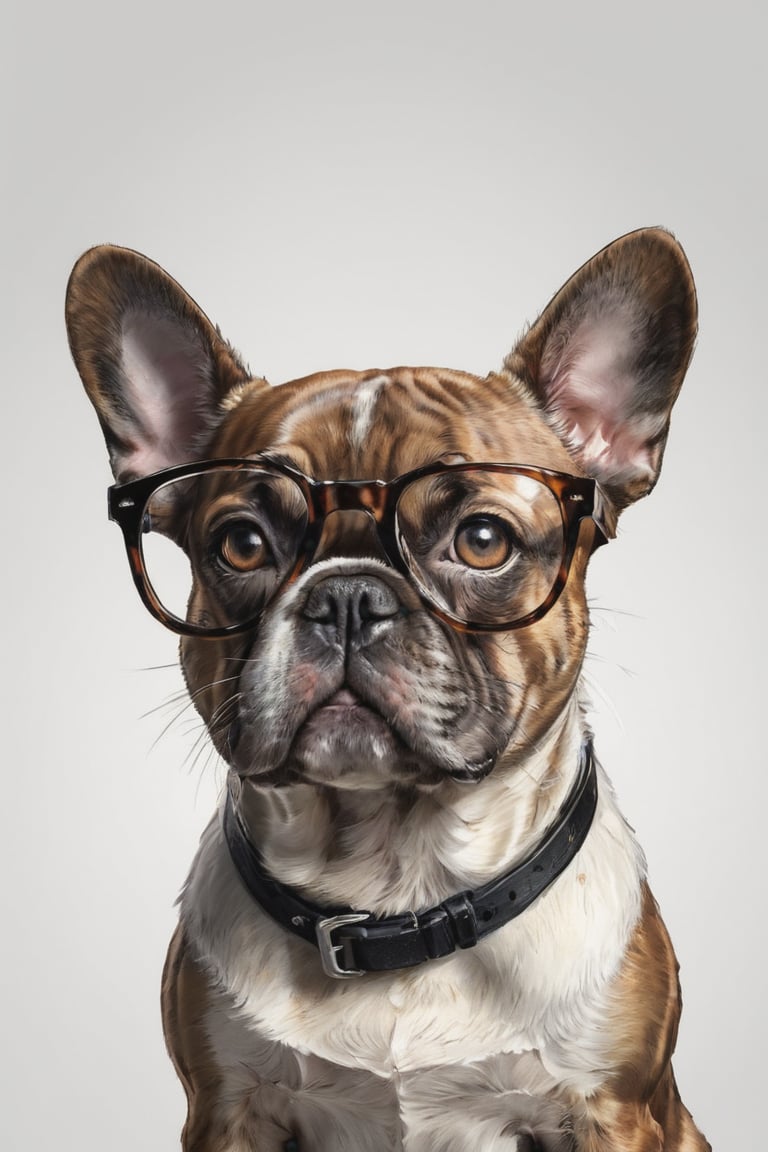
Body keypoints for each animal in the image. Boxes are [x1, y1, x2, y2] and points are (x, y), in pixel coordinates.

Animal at [69, 229, 713, 1147]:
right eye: (241, 544)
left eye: (483, 539)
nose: (347, 596)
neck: (395, 885)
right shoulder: (228, 1110)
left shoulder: (614, 1112)